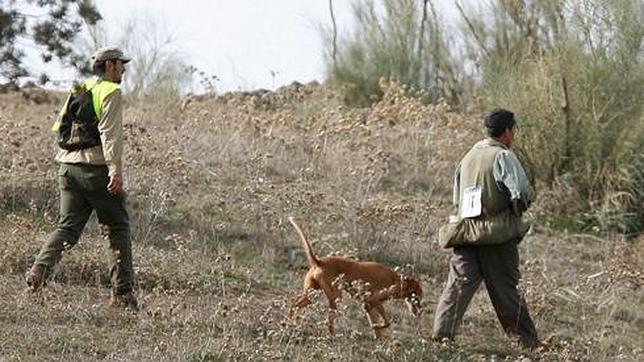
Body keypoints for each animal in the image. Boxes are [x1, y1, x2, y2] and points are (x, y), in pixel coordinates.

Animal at [284, 218, 422, 340]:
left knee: (294, 306)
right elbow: (386, 323)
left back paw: (286, 324)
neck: (396, 280)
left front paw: (378, 339)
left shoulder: (368, 305)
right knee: (329, 318)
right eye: (418, 297)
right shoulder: (373, 301)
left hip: (311, 295)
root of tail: (319, 262)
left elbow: (376, 325)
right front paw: (378, 327)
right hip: (335, 297)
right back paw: (332, 335)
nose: (420, 311)